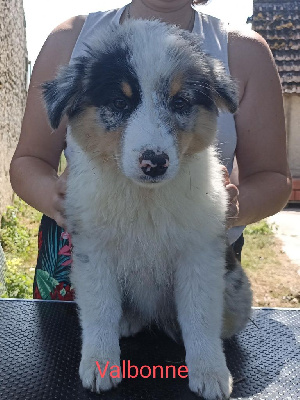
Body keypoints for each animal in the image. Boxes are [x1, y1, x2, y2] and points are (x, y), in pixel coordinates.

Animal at [42, 19, 251, 400]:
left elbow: (200, 315)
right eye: (119, 102)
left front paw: (210, 371)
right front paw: (100, 363)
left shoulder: (200, 254)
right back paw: (128, 320)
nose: (154, 162)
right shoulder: (94, 252)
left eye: (180, 101)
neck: (145, 199)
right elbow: (100, 311)